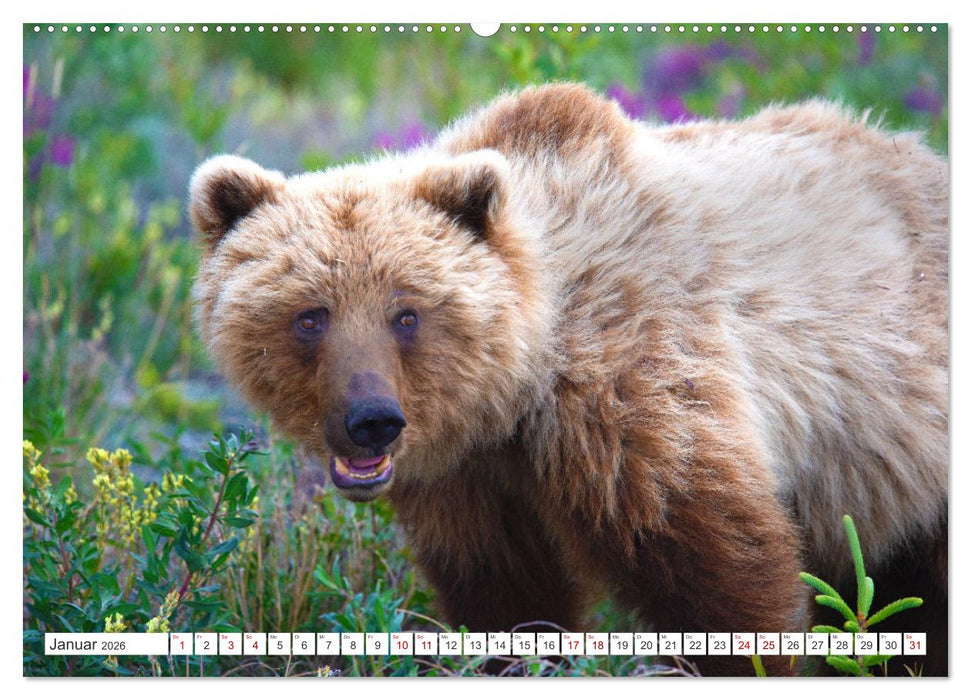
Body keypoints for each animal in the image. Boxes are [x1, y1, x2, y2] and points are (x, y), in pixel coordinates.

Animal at [189, 84, 948, 676]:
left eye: (406, 312)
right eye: (310, 315)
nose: (371, 419)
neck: (521, 382)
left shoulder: (634, 405)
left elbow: (720, 577)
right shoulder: (471, 480)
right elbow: (508, 600)